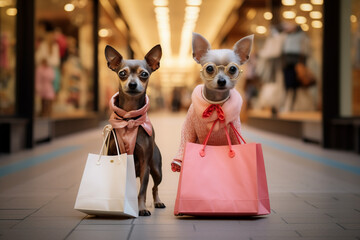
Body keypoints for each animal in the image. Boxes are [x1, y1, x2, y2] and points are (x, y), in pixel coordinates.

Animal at [105, 44, 165, 217]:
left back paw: (157, 201)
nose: (132, 84)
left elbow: (142, 191)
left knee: (154, 187)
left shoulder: (145, 164)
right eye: (122, 73)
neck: (129, 118)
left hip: (157, 170)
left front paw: (141, 208)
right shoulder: (113, 156)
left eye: (144, 74)